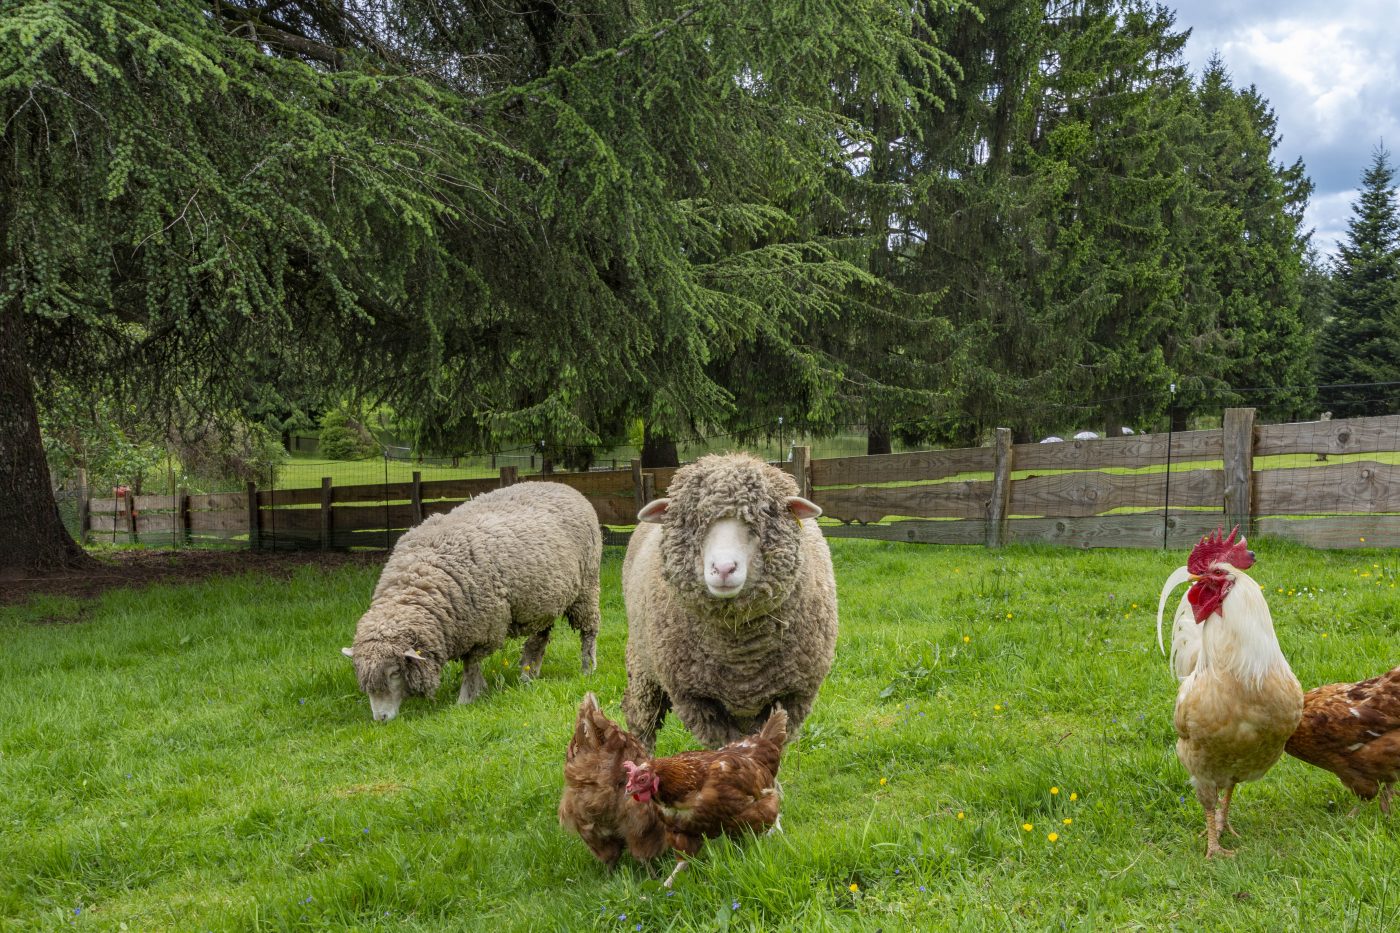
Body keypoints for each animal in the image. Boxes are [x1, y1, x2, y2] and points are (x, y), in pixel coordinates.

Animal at [343, 479, 602, 717]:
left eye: (395, 672)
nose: (381, 719)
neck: (417, 581)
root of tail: (564, 485)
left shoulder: (482, 629)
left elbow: (470, 665)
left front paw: (467, 698)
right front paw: (479, 690)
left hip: (587, 587)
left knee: (589, 631)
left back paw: (588, 668)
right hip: (543, 599)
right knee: (539, 638)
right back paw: (528, 675)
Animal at [621, 451, 828, 750]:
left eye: (759, 520)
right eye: (694, 522)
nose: (723, 568)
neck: (742, 659)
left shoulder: (792, 696)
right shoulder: (697, 699)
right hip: (642, 663)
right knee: (640, 718)